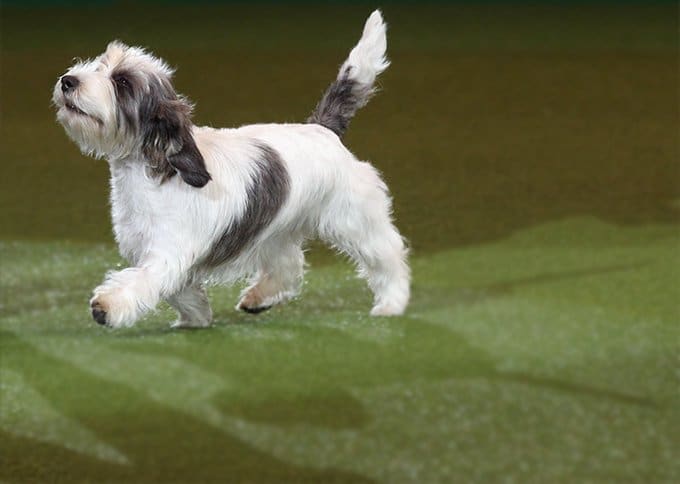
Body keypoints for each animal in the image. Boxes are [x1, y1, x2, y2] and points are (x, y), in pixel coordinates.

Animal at [51, 9, 410, 328]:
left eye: (122, 82)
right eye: (98, 65)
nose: (68, 81)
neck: (157, 171)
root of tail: (322, 129)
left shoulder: (168, 253)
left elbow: (143, 281)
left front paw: (108, 306)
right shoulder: (156, 252)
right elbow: (181, 291)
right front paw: (196, 318)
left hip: (355, 219)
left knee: (388, 255)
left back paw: (392, 303)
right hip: (274, 228)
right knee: (289, 265)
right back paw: (259, 298)